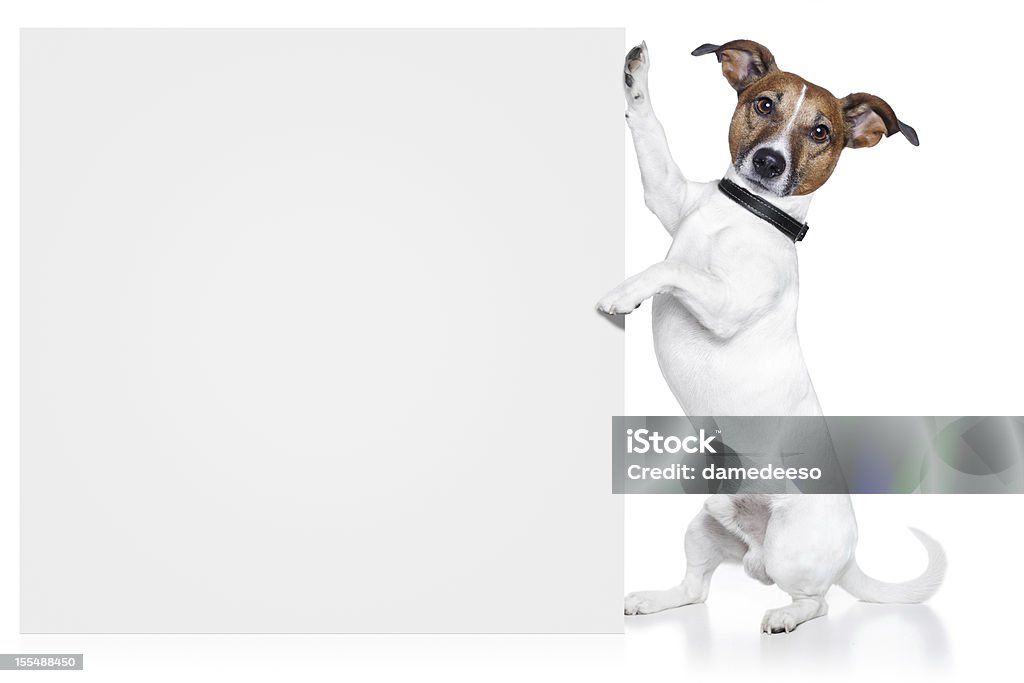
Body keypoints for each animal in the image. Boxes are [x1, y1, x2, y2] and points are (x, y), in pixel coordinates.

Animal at [598, 40, 942, 634]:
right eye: (763, 104)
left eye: (821, 131)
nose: (768, 161)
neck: (747, 214)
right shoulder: (666, 193)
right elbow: (649, 130)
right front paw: (635, 72)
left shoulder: (726, 304)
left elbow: (674, 269)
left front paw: (627, 293)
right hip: (701, 529)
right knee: (695, 590)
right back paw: (652, 600)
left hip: (788, 547)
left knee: (818, 601)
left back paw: (786, 615)